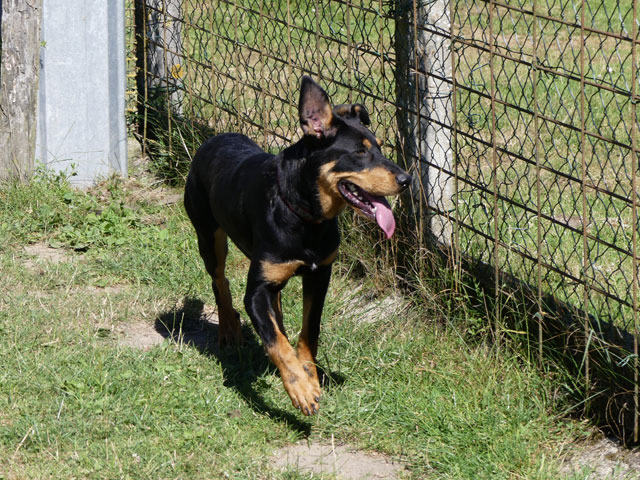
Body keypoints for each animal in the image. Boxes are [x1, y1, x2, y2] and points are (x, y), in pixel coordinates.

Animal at [184, 77, 410, 414]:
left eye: (380, 147)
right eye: (359, 152)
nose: (407, 179)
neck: (306, 216)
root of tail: (212, 139)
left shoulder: (320, 274)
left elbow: (309, 330)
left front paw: (309, 375)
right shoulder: (256, 292)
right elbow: (276, 341)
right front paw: (300, 388)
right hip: (208, 234)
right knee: (220, 281)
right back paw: (228, 330)